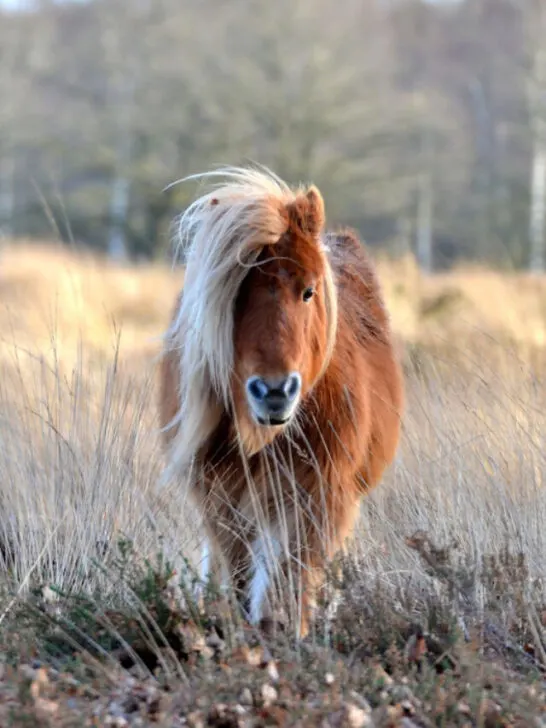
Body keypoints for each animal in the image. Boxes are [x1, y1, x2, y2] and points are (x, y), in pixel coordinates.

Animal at [158, 165, 404, 638]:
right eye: (234, 295)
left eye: (308, 291)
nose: (273, 391)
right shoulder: (221, 496)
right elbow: (235, 574)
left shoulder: (317, 494)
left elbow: (291, 579)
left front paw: (289, 635)